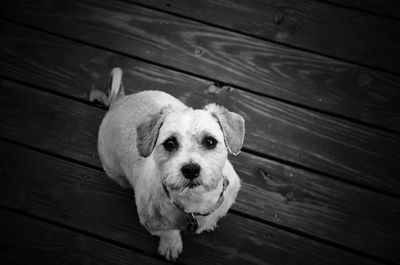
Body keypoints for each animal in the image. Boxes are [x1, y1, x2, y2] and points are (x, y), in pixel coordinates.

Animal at [93, 67, 244, 258]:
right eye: (170, 144)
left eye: (210, 141)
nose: (191, 169)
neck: (194, 203)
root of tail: (118, 101)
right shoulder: (153, 224)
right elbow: (169, 233)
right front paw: (171, 246)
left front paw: (208, 224)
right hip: (114, 171)